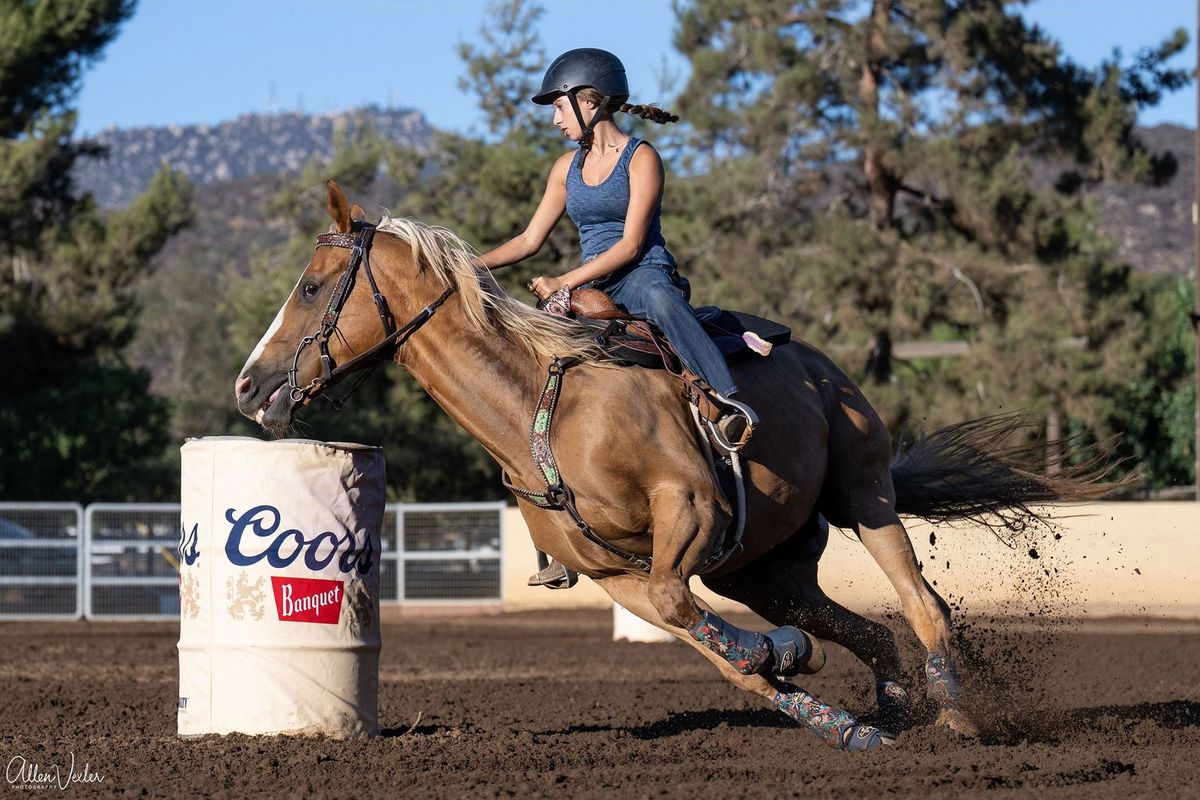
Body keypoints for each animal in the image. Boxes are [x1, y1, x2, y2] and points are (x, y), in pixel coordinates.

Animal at [231, 181, 1104, 753]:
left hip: (864, 493)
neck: (541, 409)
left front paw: (783, 656)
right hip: (762, 568)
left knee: (923, 606)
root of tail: (821, 365)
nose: (250, 386)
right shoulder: (616, 573)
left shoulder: (688, 506)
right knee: (868, 628)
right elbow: (709, 644)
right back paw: (884, 714)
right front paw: (795, 675)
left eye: (312, 286)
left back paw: (954, 711)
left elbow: (688, 610)